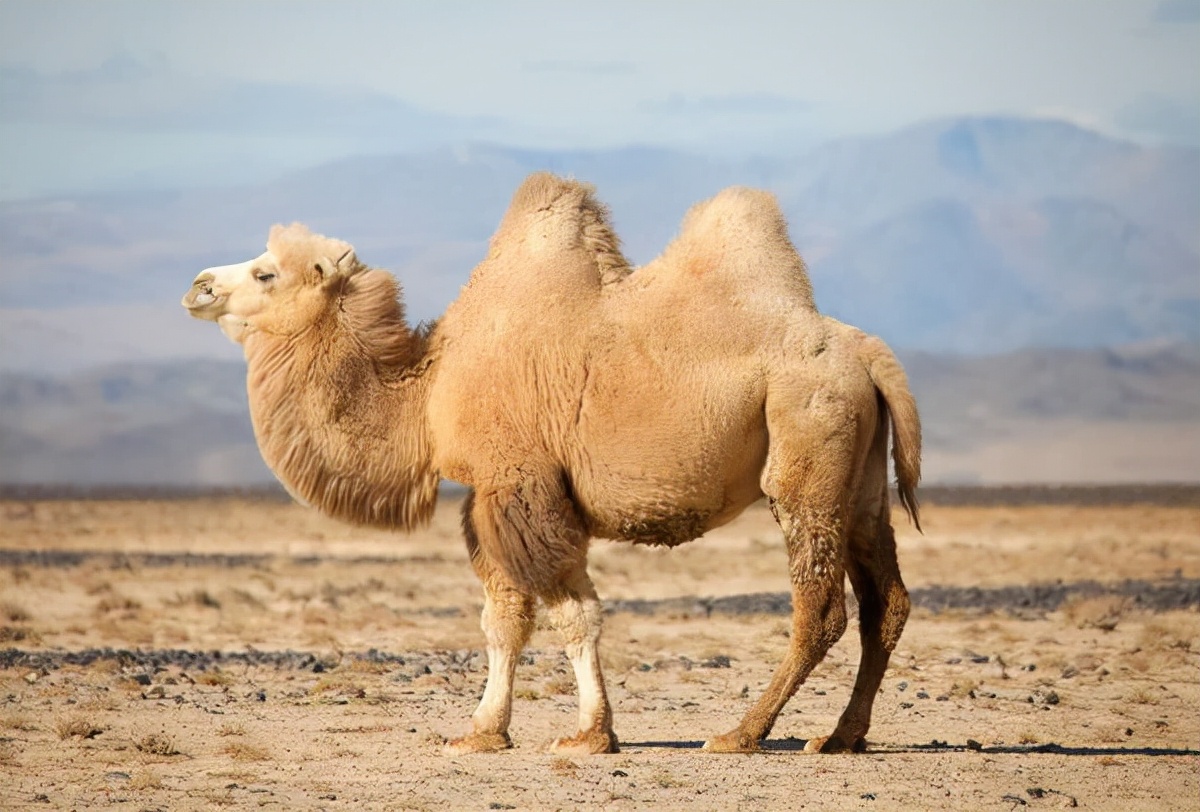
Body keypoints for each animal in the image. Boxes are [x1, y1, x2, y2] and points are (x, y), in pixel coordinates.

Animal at [182, 173, 921, 758]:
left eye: (266, 272)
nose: (198, 285)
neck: (428, 391)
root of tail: (867, 353)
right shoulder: (493, 496)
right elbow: (505, 617)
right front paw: (488, 731)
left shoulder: (521, 484)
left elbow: (566, 613)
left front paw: (585, 733)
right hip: (859, 481)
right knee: (886, 601)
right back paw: (842, 735)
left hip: (806, 446)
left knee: (819, 606)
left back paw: (741, 734)